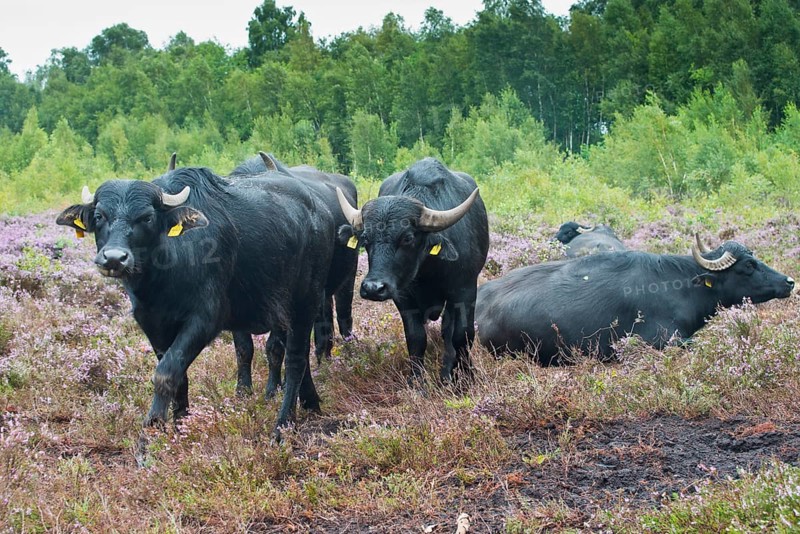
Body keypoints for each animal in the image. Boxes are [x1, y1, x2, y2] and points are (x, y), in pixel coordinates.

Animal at [56, 166, 335, 436]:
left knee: (296, 360)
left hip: (305, 303)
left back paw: (282, 425)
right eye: (100, 216)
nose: (114, 258)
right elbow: (180, 376)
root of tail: (320, 211)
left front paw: (150, 434)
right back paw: (311, 402)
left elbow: (166, 373)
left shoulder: (204, 320)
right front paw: (180, 428)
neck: (164, 276)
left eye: (147, 217)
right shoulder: (154, 324)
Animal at [336, 157, 489, 382]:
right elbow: (416, 338)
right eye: (365, 238)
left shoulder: (465, 289)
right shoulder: (403, 297)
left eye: (407, 238)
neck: (428, 272)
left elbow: (462, 334)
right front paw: (417, 381)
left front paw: (465, 375)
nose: (373, 288)